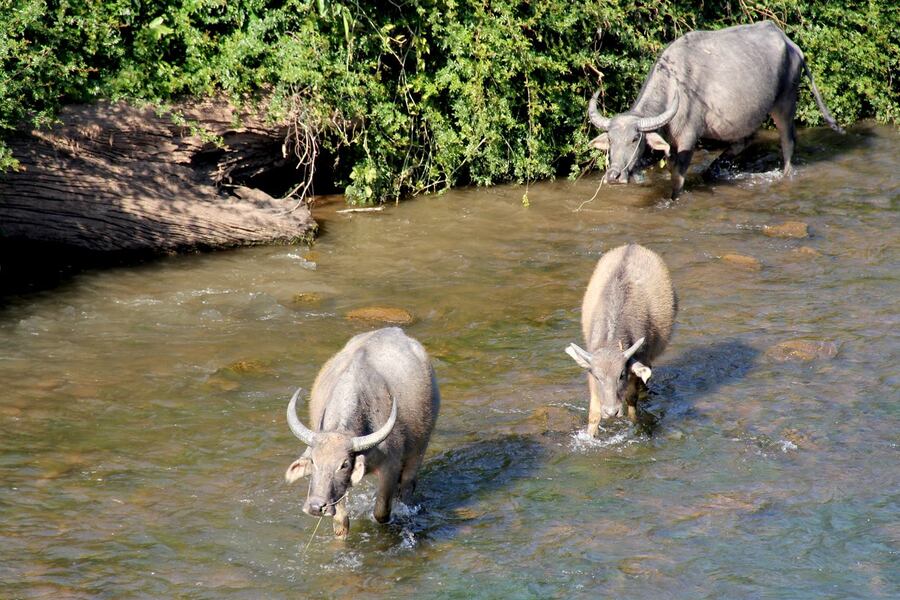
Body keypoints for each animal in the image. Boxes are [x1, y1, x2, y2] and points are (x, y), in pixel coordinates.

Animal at [284, 328, 440, 540]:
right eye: (314, 461)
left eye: (344, 464)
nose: (316, 507)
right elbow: (341, 521)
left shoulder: (389, 467)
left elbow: (381, 512)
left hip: (419, 448)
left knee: (408, 485)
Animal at [568, 244, 672, 436]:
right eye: (597, 376)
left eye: (621, 374)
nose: (611, 412)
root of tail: (633, 245)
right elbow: (594, 413)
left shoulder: (638, 365)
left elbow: (632, 403)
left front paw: (635, 424)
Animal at [588, 19, 848, 198]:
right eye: (610, 140)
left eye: (635, 139)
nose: (614, 176)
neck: (674, 87)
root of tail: (791, 43)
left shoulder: (688, 138)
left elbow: (677, 178)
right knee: (744, 140)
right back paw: (713, 169)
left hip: (785, 102)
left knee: (788, 142)